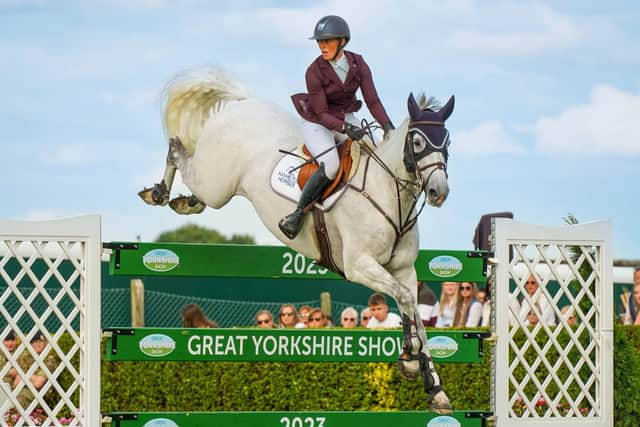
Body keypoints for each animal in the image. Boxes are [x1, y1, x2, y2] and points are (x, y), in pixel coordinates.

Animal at [141, 67, 456, 414]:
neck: (388, 191)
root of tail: (243, 103)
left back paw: (185, 201)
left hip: (215, 184)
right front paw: (411, 362)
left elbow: (414, 310)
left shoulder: (403, 270)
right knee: (177, 150)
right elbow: (405, 299)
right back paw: (158, 192)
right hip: (217, 185)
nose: (439, 192)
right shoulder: (359, 265)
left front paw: (434, 387)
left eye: (447, 142)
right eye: (417, 141)